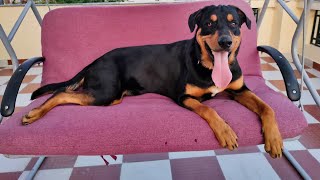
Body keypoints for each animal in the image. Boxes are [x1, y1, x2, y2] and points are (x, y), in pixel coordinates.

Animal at [21, 4, 282, 158]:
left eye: (234, 23)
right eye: (209, 23)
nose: (226, 42)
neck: (207, 66)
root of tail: (95, 60)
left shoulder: (240, 90)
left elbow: (268, 108)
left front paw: (275, 138)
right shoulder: (183, 97)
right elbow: (208, 109)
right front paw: (225, 131)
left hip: (112, 96)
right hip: (105, 92)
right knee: (61, 93)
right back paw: (34, 113)